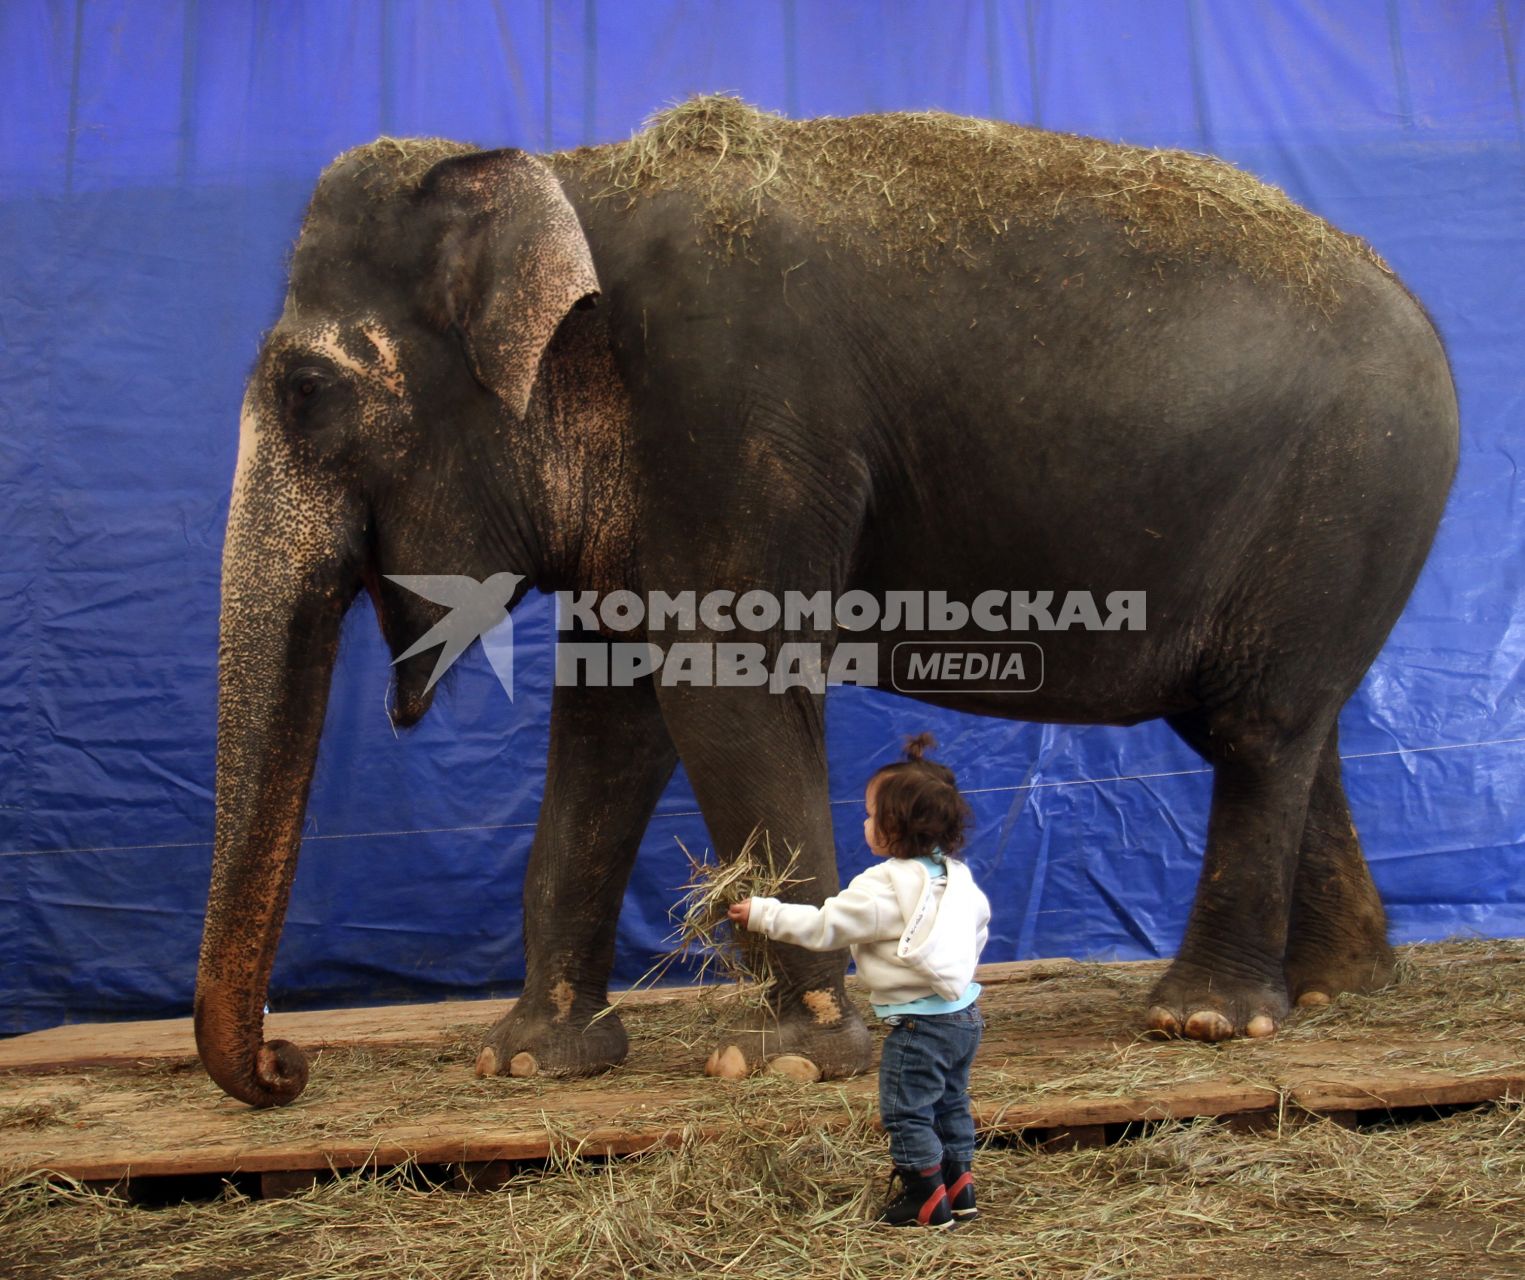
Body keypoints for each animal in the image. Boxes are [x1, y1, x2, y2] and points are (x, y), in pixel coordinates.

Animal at [196, 97, 1457, 1110]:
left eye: (305, 392)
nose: (285, 1066)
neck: (573, 175)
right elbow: (610, 716)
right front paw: (525, 1062)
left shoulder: (732, 410)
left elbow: (723, 693)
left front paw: (796, 1062)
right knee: (1279, 727)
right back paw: (1340, 986)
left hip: (1348, 490)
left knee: (1257, 730)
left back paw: (1200, 1019)